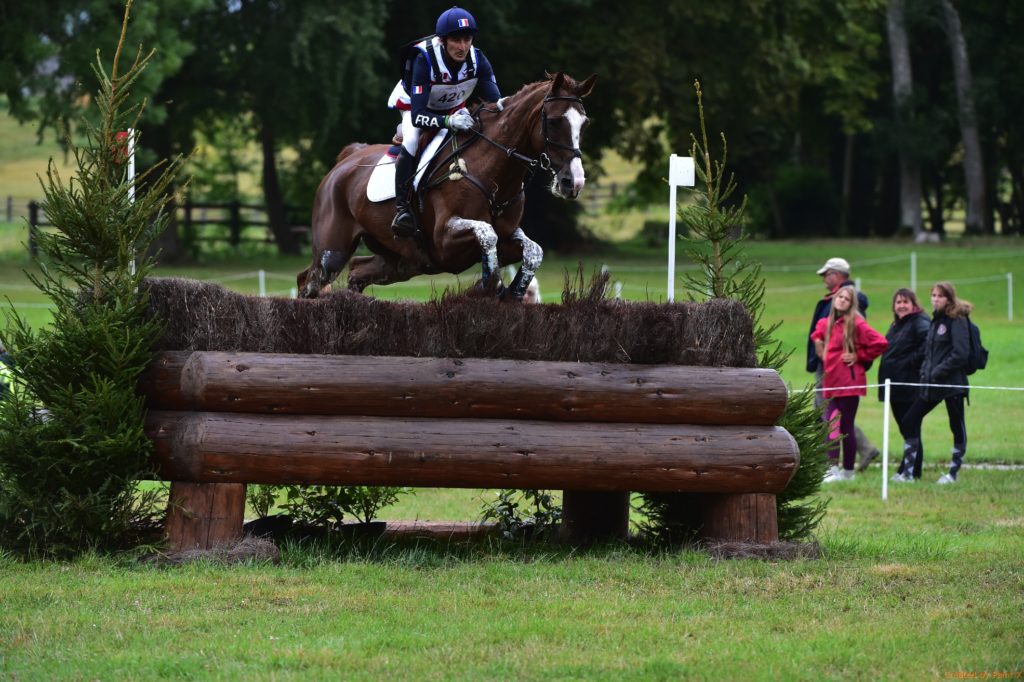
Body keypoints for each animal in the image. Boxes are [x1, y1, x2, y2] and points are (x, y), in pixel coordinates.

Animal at [296, 71, 598, 301]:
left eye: (585, 124)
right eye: (555, 121)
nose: (573, 182)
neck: (493, 170)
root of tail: (346, 160)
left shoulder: (509, 235)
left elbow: (533, 250)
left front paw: (513, 290)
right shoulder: (445, 240)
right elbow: (487, 234)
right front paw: (489, 284)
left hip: (403, 262)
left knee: (357, 271)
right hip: (332, 251)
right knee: (309, 280)